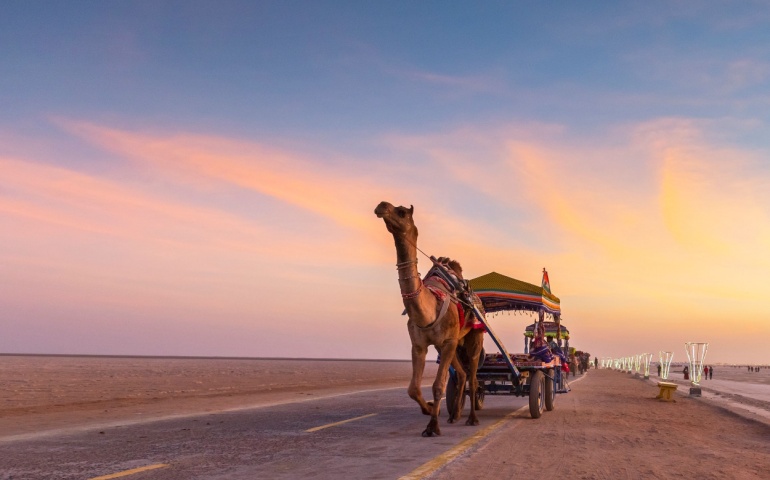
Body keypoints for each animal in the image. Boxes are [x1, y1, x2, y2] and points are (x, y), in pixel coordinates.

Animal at [372, 201, 480, 436]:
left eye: (402, 212)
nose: (381, 206)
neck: (428, 310)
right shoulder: (420, 344)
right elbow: (413, 388)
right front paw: (430, 409)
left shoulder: (447, 341)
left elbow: (438, 385)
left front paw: (432, 426)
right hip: (449, 344)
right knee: (462, 374)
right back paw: (454, 414)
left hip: (474, 336)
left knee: (473, 376)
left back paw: (472, 418)